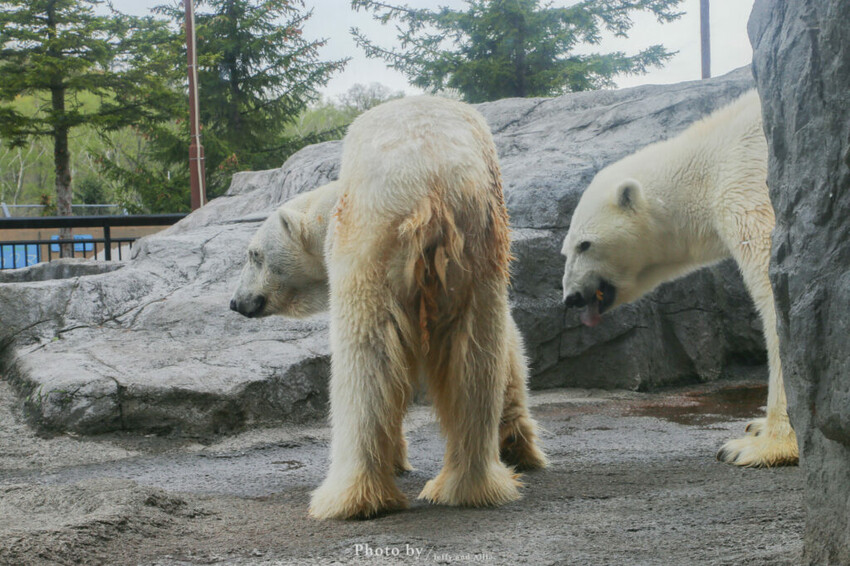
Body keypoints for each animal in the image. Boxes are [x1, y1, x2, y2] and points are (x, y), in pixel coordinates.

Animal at [230, 96, 547, 520]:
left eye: (254, 255)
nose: (236, 302)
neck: (327, 208)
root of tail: (432, 186)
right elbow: (510, 349)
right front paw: (516, 444)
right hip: (479, 245)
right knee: (476, 357)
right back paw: (469, 484)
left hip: (374, 241)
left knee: (366, 361)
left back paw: (352, 496)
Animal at [560, 90, 798, 468]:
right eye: (565, 250)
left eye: (585, 244)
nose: (572, 297)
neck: (707, 162)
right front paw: (757, 426)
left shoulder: (747, 181)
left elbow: (776, 292)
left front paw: (759, 446)